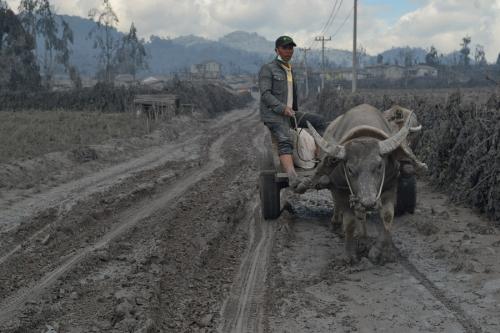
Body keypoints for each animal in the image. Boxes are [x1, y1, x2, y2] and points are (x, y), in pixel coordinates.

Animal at [306, 103, 424, 262]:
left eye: (379, 166)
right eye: (350, 169)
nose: (369, 201)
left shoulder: (390, 186)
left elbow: (387, 216)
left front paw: (379, 252)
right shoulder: (340, 188)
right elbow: (349, 222)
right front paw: (349, 254)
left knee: (361, 213)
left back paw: (363, 237)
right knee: (340, 205)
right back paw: (338, 224)